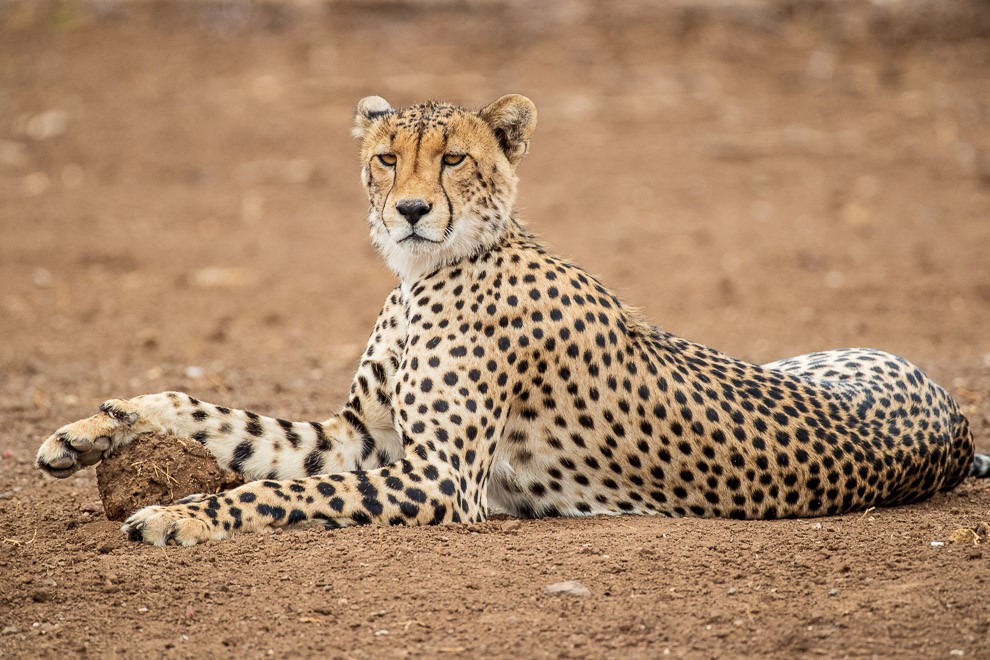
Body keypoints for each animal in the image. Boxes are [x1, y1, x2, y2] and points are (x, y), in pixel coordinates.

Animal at [38, 94, 990, 548]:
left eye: (455, 158)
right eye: (388, 159)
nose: (412, 210)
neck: (428, 274)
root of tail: (953, 421)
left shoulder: (437, 479)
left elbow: (280, 491)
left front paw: (183, 515)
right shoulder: (363, 438)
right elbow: (211, 414)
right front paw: (91, 430)